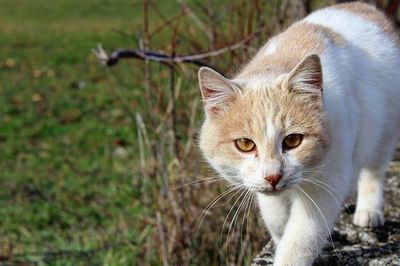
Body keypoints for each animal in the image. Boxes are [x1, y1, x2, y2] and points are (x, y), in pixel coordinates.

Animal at [197, 2, 400, 266]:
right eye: (244, 144)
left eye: (293, 140)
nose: (273, 176)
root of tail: (362, 7)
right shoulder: (264, 190)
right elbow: (275, 218)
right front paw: (279, 232)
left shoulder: (328, 182)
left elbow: (300, 239)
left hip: (383, 132)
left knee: (374, 170)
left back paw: (368, 211)